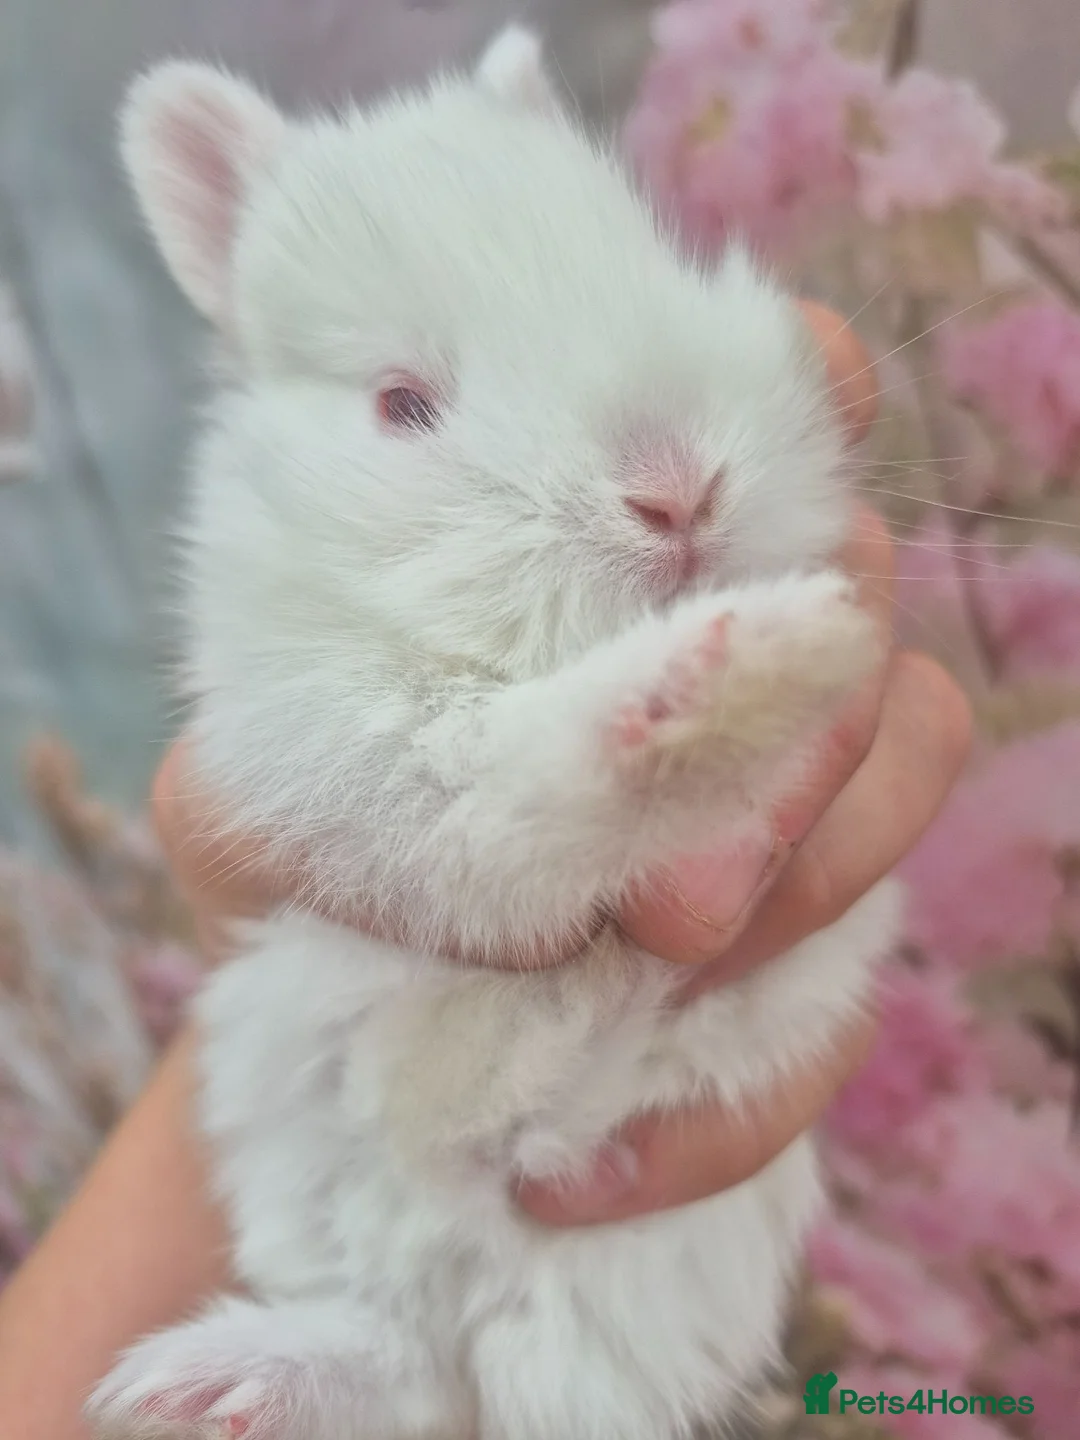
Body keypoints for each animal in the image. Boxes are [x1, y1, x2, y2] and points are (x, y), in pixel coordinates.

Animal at [87, 25, 901, 1440]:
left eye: (657, 262)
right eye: (401, 405)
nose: (677, 489)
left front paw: (790, 647)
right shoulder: (392, 782)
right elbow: (524, 787)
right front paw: (736, 669)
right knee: (403, 1304)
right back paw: (204, 1386)